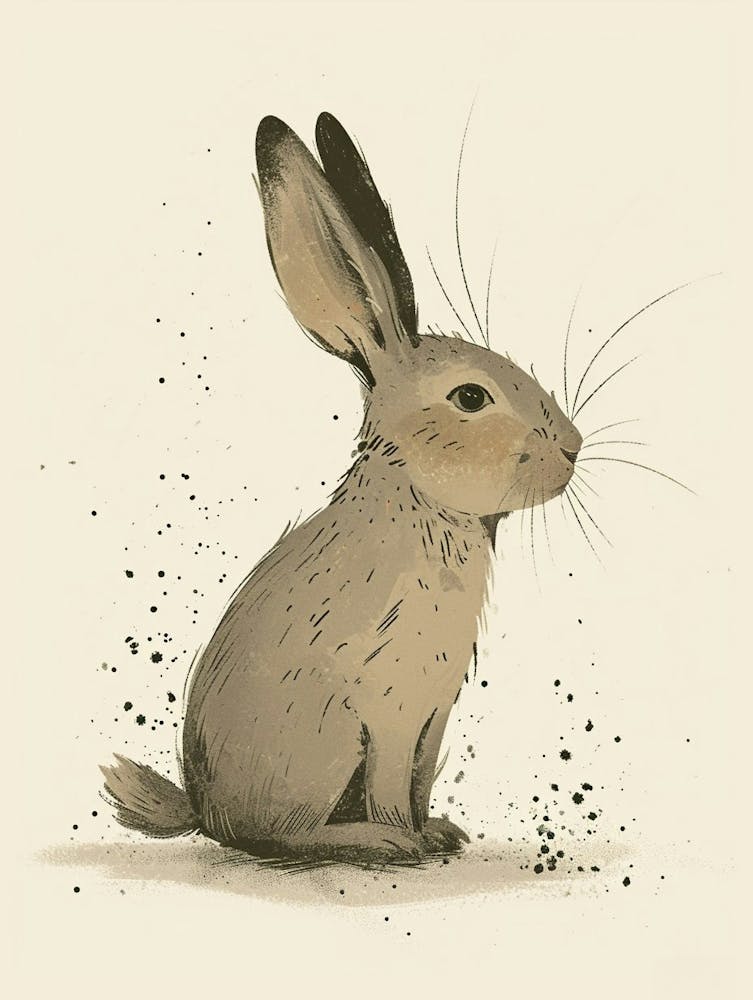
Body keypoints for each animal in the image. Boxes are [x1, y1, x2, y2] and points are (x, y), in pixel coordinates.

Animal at [101, 112, 582, 865]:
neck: (420, 502)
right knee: (276, 835)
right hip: (324, 747)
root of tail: (203, 809)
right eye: (471, 397)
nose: (571, 448)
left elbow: (420, 780)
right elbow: (390, 785)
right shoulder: (390, 713)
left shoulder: (434, 718)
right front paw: (406, 842)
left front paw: (437, 832)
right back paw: (367, 840)